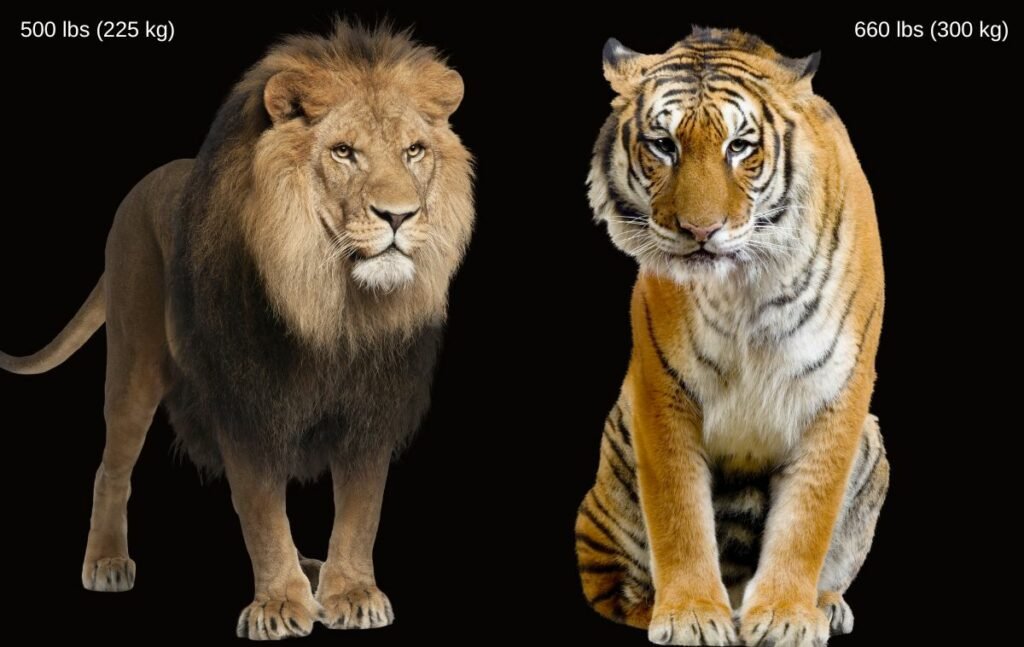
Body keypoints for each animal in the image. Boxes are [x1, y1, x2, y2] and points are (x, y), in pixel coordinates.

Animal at [0, 23, 473, 640]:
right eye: (344, 152)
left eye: (414, 150)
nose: (399, 216)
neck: (333, 306)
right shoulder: (246, 401)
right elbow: (261, 511)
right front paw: (279, 604)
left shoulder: (371, 406)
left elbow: (361, 512)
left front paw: (351, 592)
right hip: (134, 364)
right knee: (111, 467)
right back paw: (106, 561)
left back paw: (313, 567)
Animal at [575, 28, 888, 646]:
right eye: (663, 145)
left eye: (740, 147)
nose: (701, 231)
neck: (747, 284)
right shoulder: (661, 389)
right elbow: (678, 514)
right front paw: (692, 615)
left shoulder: (838, 393)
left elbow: (808, 516)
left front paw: (788, 616)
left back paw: (826, 605)